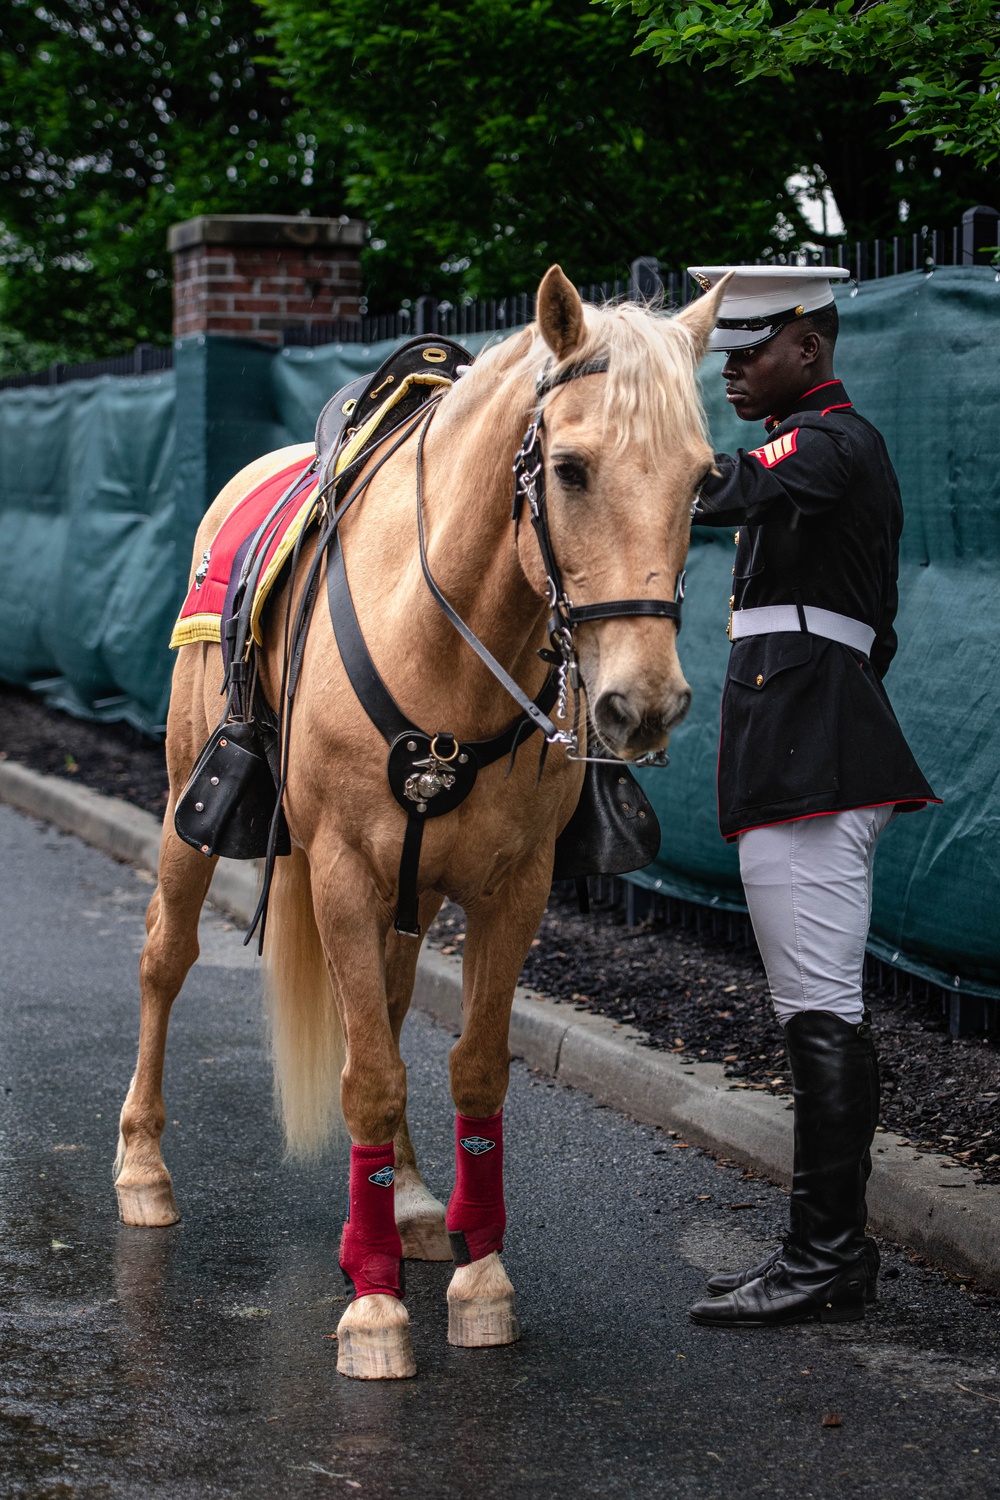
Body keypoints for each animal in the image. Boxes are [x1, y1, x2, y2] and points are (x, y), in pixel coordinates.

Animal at [115, 267, 728, 1380]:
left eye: (702, 480)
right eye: (569, 468)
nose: (642, 705)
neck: (446, 638)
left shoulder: (511, 888)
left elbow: (466, 1067)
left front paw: (479, 1276)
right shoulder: (343, 874)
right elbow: (366, 1078)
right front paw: (373, 1304)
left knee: (395, 1007)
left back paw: (401, 1198)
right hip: (194, 816)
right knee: (166, 960)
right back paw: (143, 1168)